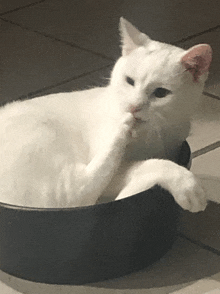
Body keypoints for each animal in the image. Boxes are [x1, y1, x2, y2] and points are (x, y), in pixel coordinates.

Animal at [0, 17, 213, 211]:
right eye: (129, 81)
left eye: (161, 93)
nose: (133, 107)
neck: (154, 134)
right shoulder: (117, 166)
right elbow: (151, 164)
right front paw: (188, 185)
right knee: (79, 191)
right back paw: (122, 131)